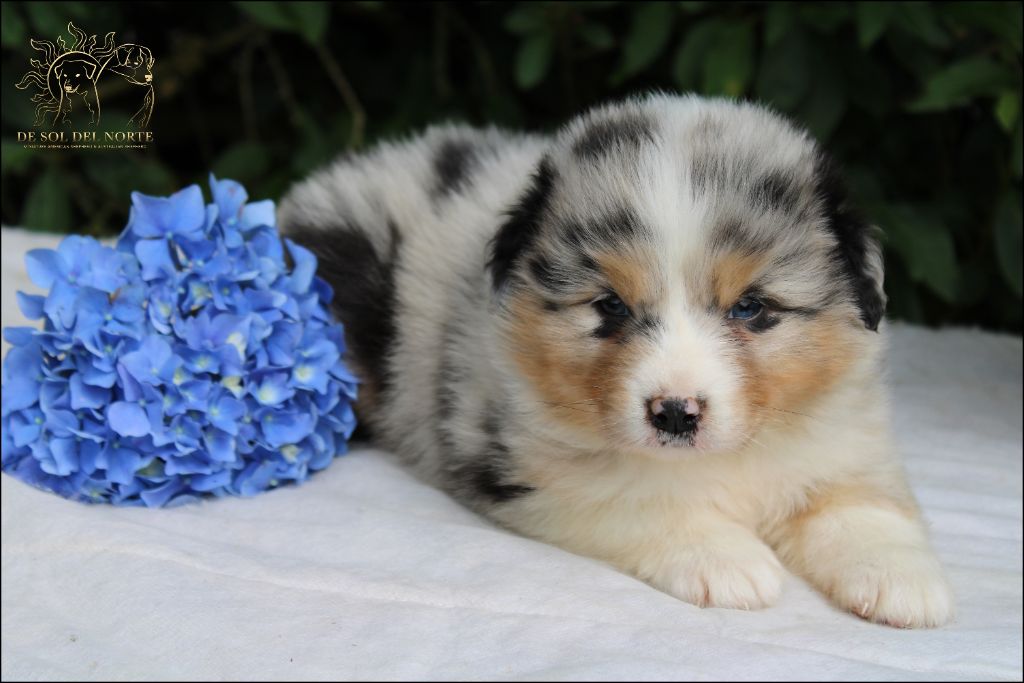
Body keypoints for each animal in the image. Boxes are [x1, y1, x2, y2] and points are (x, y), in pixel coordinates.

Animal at [278, 93, 950, 626]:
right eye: (610, 305)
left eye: (751, 307)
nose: (675, 413)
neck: (726, 460)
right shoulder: (529, 465)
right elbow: (641, 498)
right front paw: (728, 560)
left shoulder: (843, 436)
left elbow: (863, 506)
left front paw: (901, 580)